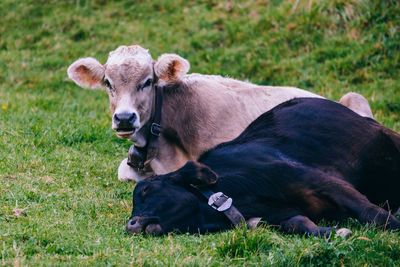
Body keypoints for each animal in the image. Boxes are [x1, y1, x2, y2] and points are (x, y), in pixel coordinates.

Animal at [126, 98, 400, 237]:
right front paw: (335, 231)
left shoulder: (318, 180)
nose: (130, 224)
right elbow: (299, 223)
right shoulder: (283, 216)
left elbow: (371, 213)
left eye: (145, 190)